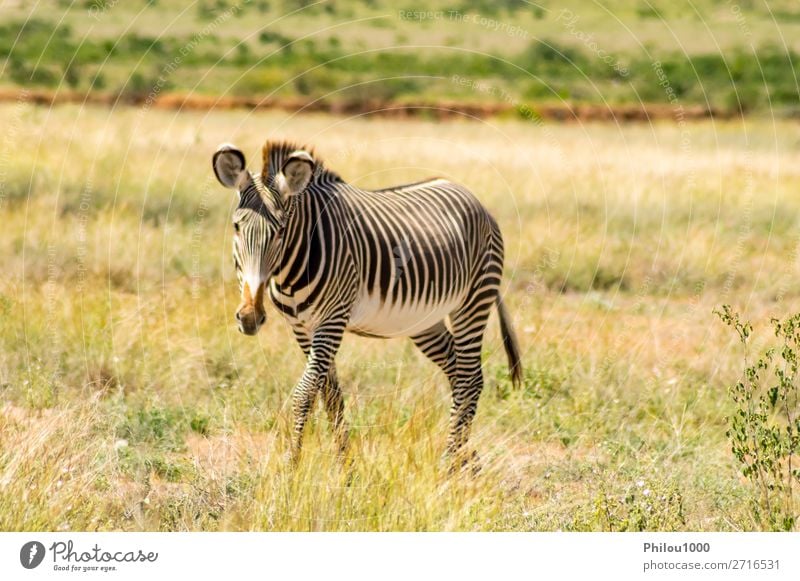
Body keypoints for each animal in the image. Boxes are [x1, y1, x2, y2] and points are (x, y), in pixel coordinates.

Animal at [212, 140, 520, 466]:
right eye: (236, 227)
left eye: (281, 231)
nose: (249, 317)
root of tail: (474, 199)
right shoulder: (302, 327)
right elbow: (330, 394)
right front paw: (344, 464)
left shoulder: (332, 320)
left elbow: (305, 393)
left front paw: (291, 465)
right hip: (425, 321)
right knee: (457, 370)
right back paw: (465, 456)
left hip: (473, 301)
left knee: (470, 377)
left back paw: (449, 462)